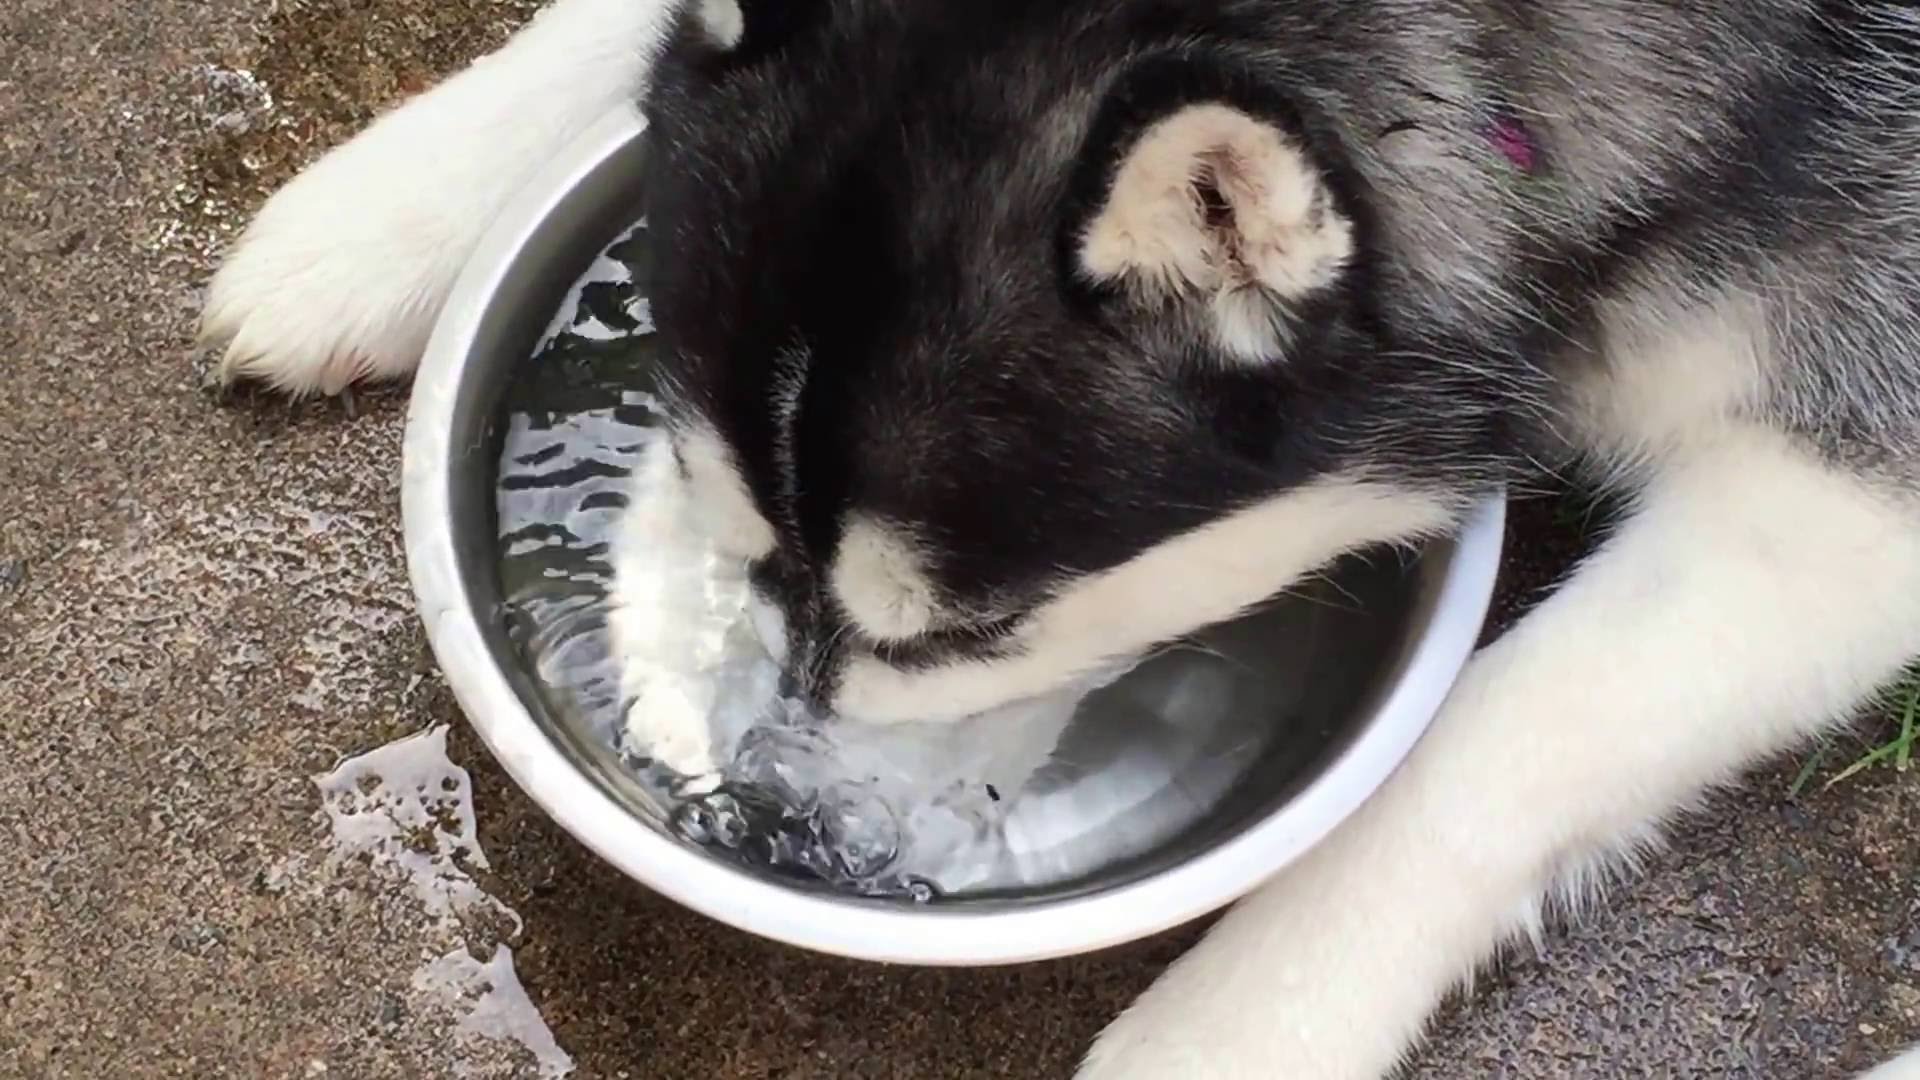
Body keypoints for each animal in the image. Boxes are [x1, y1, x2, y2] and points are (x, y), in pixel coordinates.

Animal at [198, 0, 1920, 1068]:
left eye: (964, 630)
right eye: (750, 541)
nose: (778, 830)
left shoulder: (1850, 483)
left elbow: (1491, 750)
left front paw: (1238, 1024)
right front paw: (390, 212)